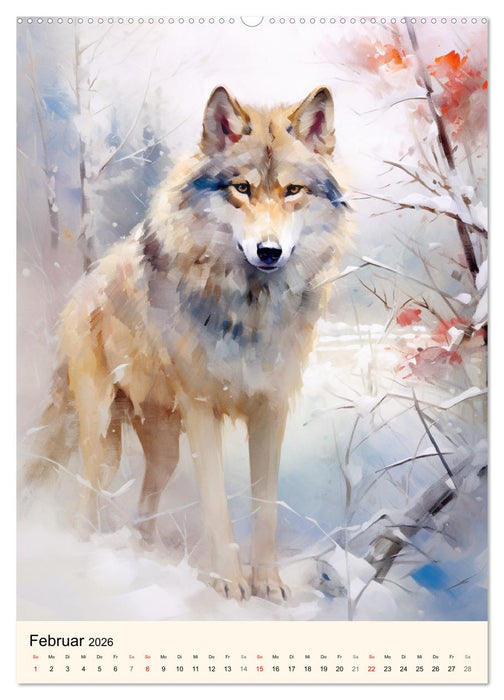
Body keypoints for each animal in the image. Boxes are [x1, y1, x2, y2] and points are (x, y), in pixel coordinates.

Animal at [24, 86, 348, 603]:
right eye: (242, 188)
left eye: (293, 191)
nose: (269, 252)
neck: (248, 312)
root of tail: (79, 290)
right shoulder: (202, 410)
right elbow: (216, 504)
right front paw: (228, 582)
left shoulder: (271, 409)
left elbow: (266, 505)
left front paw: (269, 583)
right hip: (102, 438)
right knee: (84, 501)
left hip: (162, 449)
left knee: (144, 506)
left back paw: (146, 551)